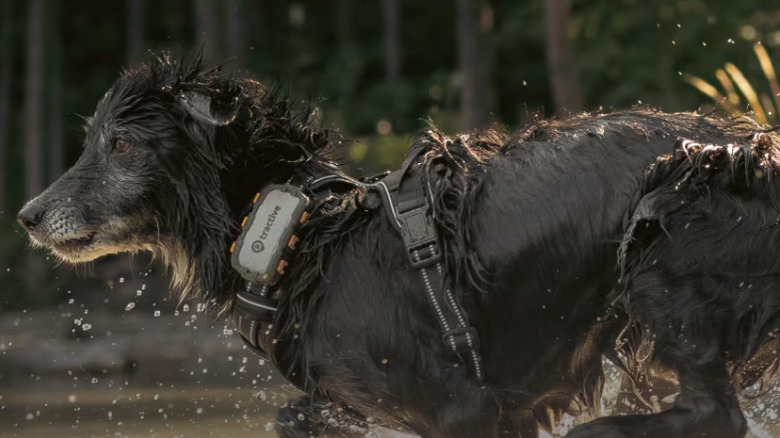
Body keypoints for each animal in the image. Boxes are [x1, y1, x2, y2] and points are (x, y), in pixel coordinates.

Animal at [16, 55, 780, 438]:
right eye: (92, 141)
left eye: (121, 145)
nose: (26, 216)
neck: (300, 234)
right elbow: (296, 419)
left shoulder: (467, 410)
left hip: (663, 248)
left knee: (716, 414)